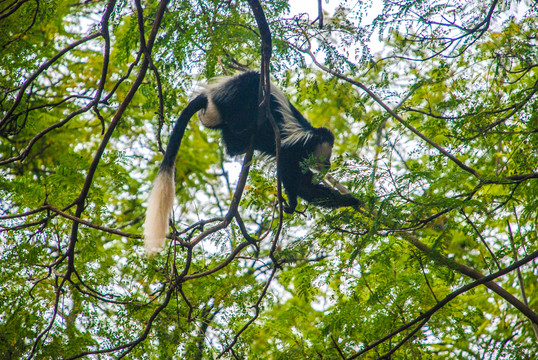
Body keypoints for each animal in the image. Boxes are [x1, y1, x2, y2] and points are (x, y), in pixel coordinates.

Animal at [144, 71, 358, 253]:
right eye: (327, 154)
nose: (329, 165)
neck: (309, 140)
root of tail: (210, 97)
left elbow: (307, 187)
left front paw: (351, 200)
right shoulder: (293, 148)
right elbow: (287, 174)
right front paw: (291, 204)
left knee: (230, 142)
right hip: (233, 96)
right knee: (249, 84)